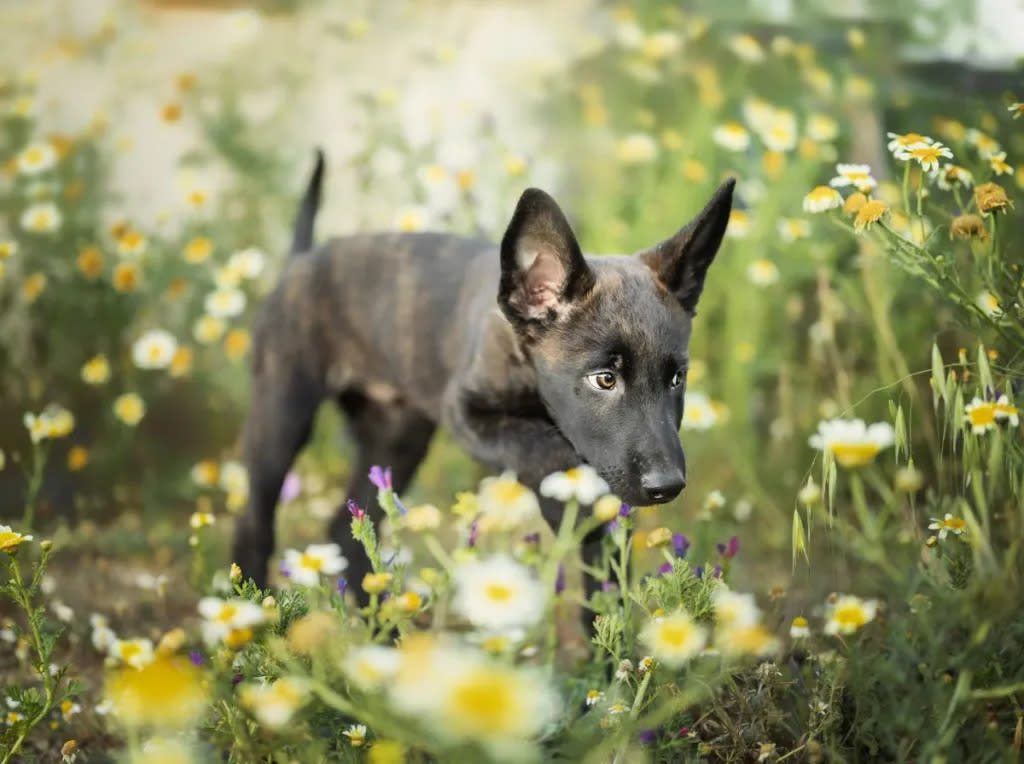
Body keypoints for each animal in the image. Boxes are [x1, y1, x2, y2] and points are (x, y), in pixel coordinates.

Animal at [231, 148, 733, 610]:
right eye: (604, 379)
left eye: (677, 379)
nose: (667, 485)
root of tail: (301, 260)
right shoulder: (466, 412)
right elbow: (539, 446)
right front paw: (570, 499)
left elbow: (605, 583)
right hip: (282, 414)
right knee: (255, 523)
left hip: (396, 439)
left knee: (343, 527)